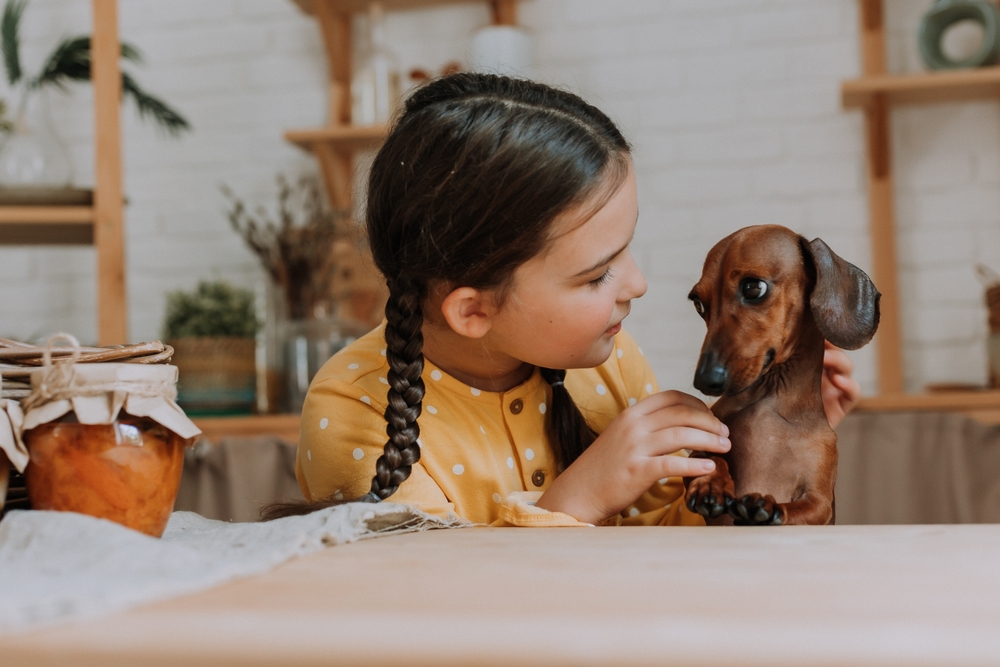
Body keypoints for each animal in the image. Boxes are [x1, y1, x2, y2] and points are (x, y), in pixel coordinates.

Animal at [684, 226, 880, 528]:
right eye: (698, 304)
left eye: (753, 288)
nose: (705, 381)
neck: (771, 398)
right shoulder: (702, 447)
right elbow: (710, 458)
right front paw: (710, 485)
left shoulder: (820, 502)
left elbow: (803, 509)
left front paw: (765, 508)